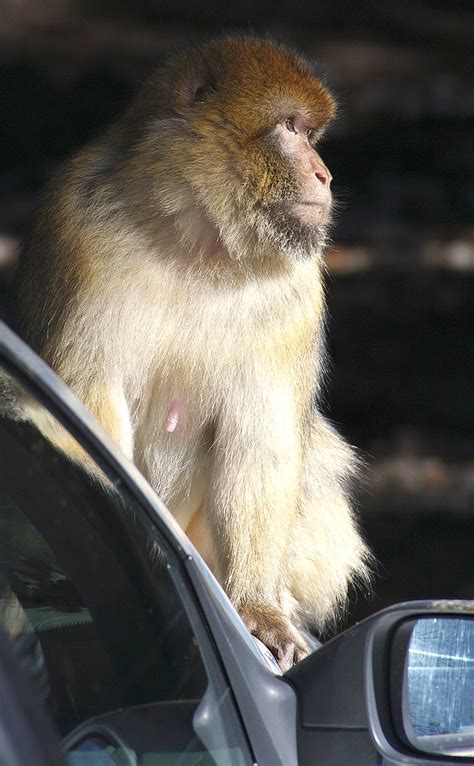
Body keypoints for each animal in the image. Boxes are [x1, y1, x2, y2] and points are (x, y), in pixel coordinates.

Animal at [13, 37, 370, 672]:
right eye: (291, 129)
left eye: (312, 134)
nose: (325, 174)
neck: (199, 239)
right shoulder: (77, 225)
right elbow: (83, 407)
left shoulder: (298, 292)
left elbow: (259, 441)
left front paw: (258, 608)